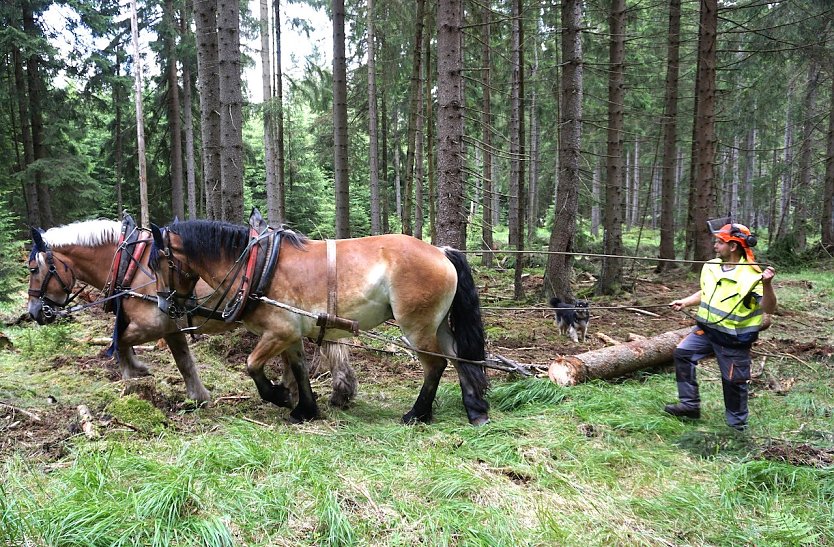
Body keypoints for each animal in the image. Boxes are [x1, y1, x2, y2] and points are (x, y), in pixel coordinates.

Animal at [26, 218, 354, 406]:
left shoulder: (153, 324)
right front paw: (198, 395)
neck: (130, 265)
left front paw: (134, 372)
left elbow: (121, 340)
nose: (34, 312)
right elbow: (183, 361)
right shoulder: (170, 325)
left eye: (32, 269)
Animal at [151, 214, 488, 428]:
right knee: (459, 358)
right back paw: (475, 410)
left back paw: (417, 414)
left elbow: (252, 365)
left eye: (158, 262)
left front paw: (279, 396)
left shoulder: (279, 332)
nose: (164, 305)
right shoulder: (290, 335)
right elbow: (299, 369)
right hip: (437, 324)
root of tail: (441, 251)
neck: (256, 267)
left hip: (416, 326)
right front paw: (305, 409)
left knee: (436, 365)